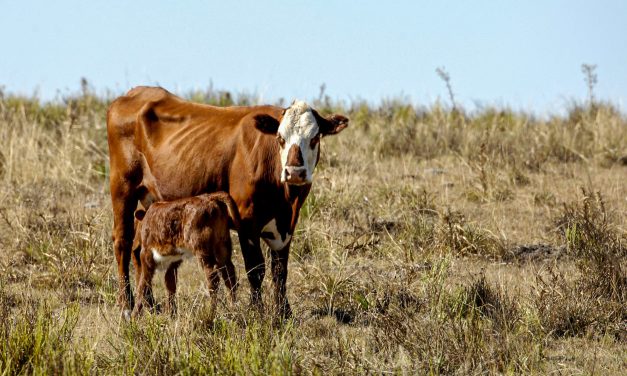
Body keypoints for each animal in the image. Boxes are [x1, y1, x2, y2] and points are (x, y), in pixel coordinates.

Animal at [110, 86, 350, 318]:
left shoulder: (287, 225)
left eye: (315, 138)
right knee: (123, 243)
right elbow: (256, 269)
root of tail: (133, 93)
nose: (295, 172)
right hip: (122, 188)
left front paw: (284, 313)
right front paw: (257, 311)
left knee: (139, 250)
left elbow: (280, 271)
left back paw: (148, 304)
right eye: (280, 138)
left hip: (150, 204)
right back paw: (126, 305)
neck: (285, 198)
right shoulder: (247, 222)